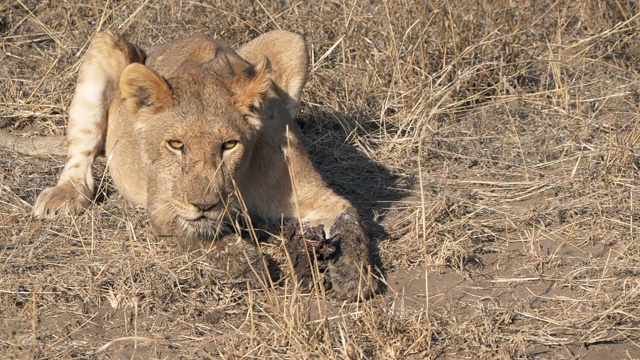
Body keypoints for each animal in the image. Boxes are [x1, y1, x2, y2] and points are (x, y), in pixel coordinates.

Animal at [0, 30, 380, 300]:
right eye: (176, 145)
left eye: (229, 145)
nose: (204, 205)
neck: (238, 183)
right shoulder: (165, 207)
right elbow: (206, 237)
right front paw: (250, 264)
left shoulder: (311, 194)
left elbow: (350, 220)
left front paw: (353, 275)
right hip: (105, 43)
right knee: (81, 151)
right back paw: (64, 195)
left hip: (291, 41)